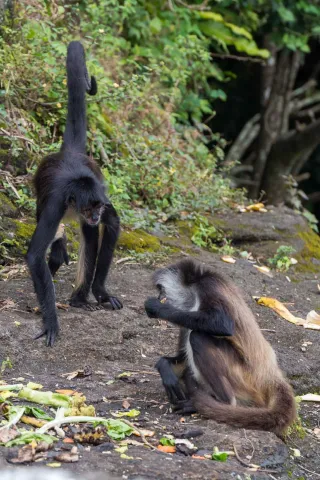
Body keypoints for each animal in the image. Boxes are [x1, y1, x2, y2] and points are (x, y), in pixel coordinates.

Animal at [26, 41, 122, 346]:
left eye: (98, 208)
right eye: (89, 208)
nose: (94, 216)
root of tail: (70, 154)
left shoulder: (101, 192)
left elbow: (112, 223)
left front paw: (100, 291)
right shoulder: (58, 201)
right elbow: (35, 255)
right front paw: (51, 321)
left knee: (90, 236)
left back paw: (80, 299)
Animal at [144, 258, 296, 436]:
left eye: (161, 290)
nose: (160, 296)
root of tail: (269, 374)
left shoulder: (208, 286)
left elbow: (223, 323)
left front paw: (157, 308)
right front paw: (165, 367)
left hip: (243, 377)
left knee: (198, 337)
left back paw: (217, 404)